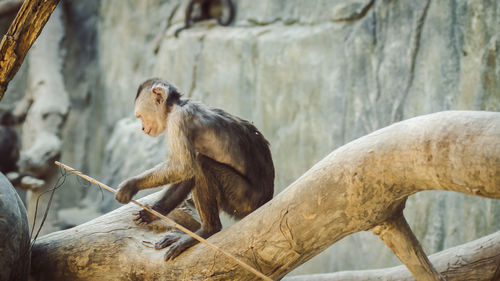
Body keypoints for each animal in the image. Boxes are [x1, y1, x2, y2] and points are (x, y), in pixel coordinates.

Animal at [114, 77, 274, 260]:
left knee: (202, 163)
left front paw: (131, 185)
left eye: (140, 116)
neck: (176, 107)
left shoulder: (177, 121)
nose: (142, 127)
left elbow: (184, 167)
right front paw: (154, 212)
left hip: (244, 200)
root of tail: (266, 200)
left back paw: (208, 230)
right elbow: (185, 174)